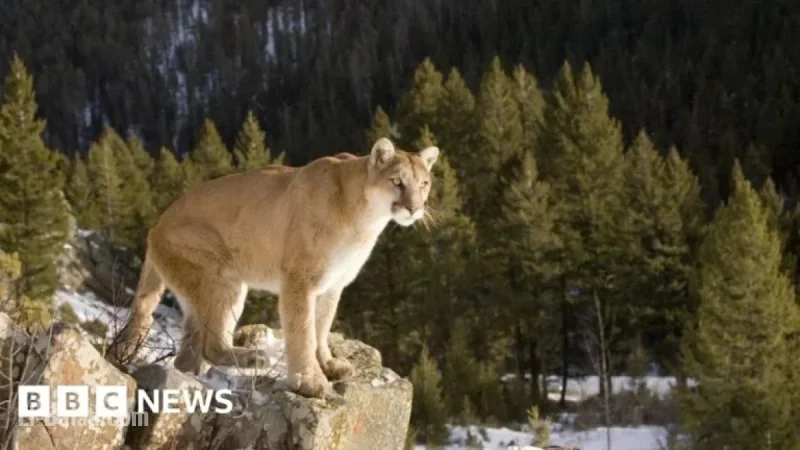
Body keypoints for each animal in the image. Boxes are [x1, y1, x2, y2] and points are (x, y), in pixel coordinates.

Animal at [107, 137, 439, 398]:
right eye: (397, 181)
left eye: (424, 184)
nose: (415, 208)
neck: (365, 218)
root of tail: (156, 226)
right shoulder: (300, 280)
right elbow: (303, 330)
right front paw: (308, 380)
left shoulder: (333, 285)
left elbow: (322, 327)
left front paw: (328, 364)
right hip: (222, 274)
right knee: (210, 344)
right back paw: (252, 358)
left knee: (189, 351)